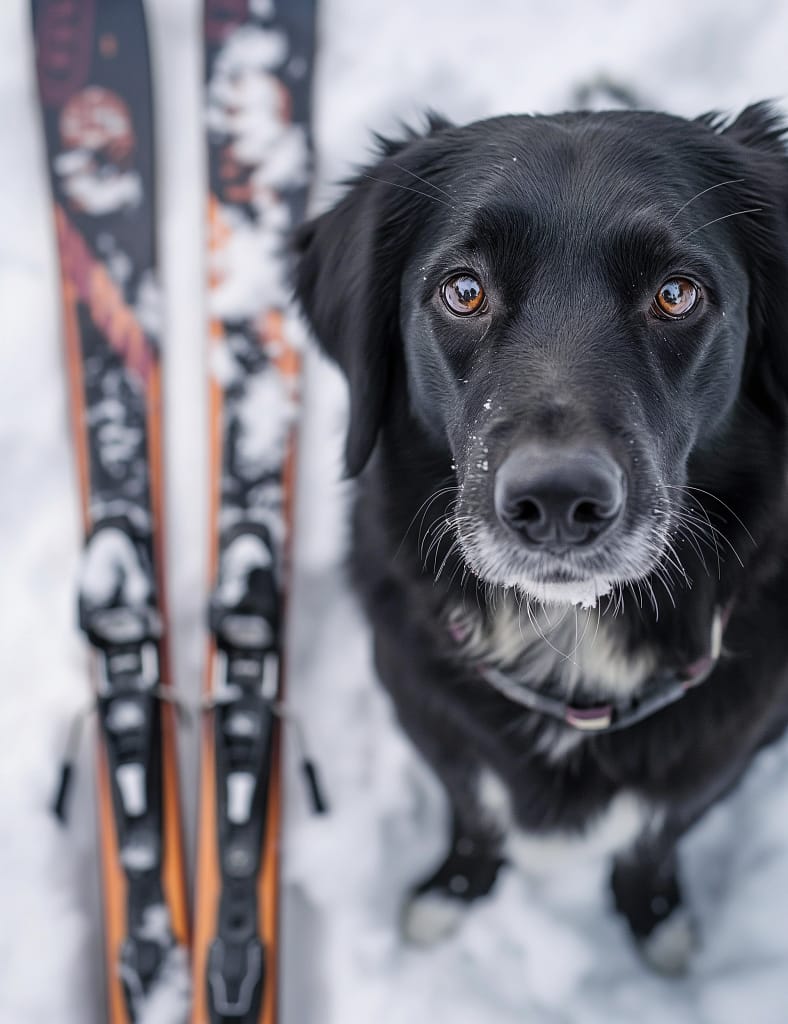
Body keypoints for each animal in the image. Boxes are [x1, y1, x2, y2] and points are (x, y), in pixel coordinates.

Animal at [290, 105, 785, 974]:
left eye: (676, 294)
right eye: (464, 290)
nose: (557, 501)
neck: (572, 651)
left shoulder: (725, 752)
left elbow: (653, 838)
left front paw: (656, 920)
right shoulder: (434, 721)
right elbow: (476, 815)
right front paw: (453, 894)